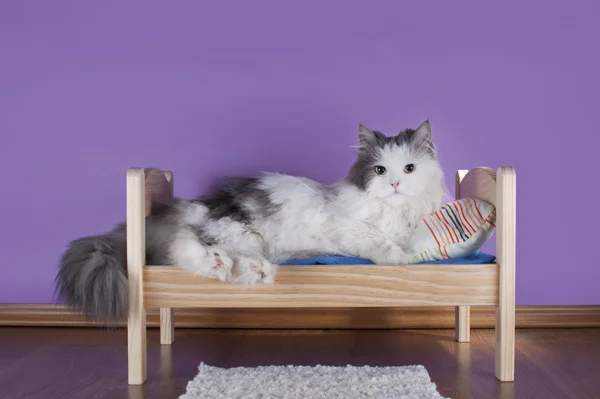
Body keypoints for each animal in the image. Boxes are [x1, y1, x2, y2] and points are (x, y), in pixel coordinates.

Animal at [54, 120, 442, 324]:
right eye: (380, 171)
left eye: (409, 169)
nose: (395, 184)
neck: (394, 212)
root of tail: (197, 204)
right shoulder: (350, 229)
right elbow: (379, 242)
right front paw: (399, 259)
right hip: (239, 230)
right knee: (189, 245)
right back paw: (234, 265)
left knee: (185, 250)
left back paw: (242, 268)